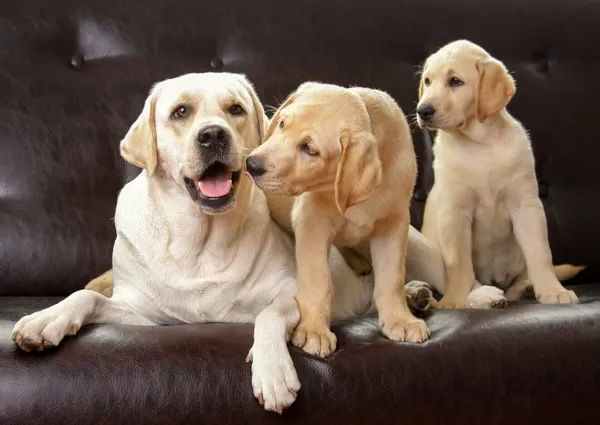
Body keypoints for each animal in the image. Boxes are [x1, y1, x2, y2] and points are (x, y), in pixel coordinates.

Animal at [418, 40, 580, 308]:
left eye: (455, 81)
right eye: (428, 81)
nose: (422, 110)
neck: (479, 144)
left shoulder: (526, 206)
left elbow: (540, 252)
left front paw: (553, 290)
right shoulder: (454, 211)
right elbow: (457, 262)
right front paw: (454, 300)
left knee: (521, 276)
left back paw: (525, 287)